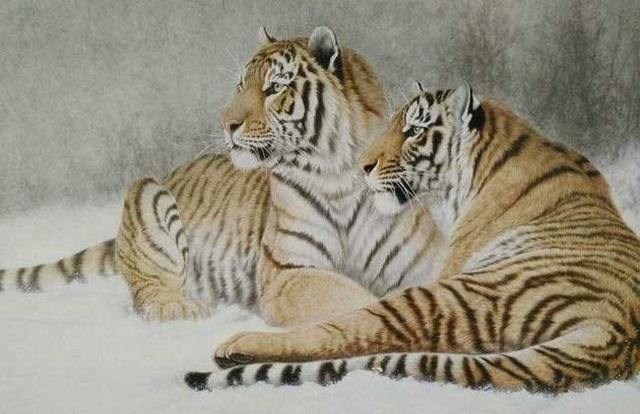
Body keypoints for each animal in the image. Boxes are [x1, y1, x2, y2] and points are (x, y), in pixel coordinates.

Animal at [0, 27, 443, 327]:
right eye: (240, 84)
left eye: (273, 88)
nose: (227, 123)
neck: (338, 178)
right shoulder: (288, 273)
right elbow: (353, 298)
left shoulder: (422, 264)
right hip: (147, 192)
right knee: (146, 292)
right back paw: (179, 305)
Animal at [185, 81, 640, 393]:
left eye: (414, 131)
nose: (364, 166)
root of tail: (612, 332)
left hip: (446, 294)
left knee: (346, 331)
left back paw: (236, 346)